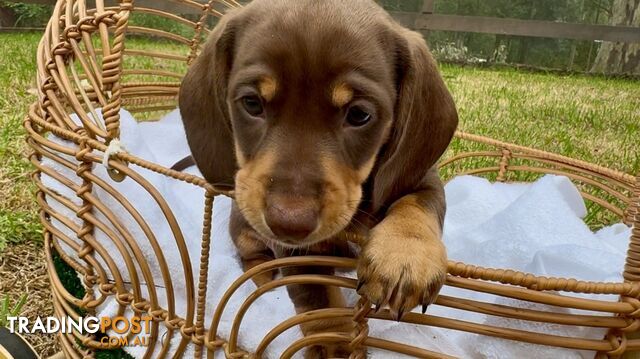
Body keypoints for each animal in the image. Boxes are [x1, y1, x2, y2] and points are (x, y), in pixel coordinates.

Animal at [180, 0, 458, 358]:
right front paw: (332, 344)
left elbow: (417, 203)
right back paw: (265, 280)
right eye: (252, 103)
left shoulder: (422, 177)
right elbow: (317, 298)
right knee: (251, 260)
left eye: (359, 115)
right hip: (244, 230)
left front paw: (404, 255)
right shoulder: (296, 253)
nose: (289, 223)